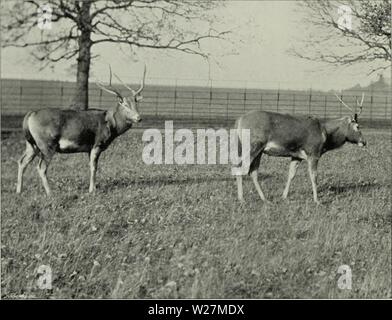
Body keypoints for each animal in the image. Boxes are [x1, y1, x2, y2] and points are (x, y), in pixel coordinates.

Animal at [16, 65, 146, 195]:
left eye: (136, 104)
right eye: (125, 105)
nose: (139, 118)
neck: (111, 126)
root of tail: (30, 115)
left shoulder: (89, 148)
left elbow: (92, 166)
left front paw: (94, 188)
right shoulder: (97, 143)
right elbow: (94, 167)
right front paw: (92, 190)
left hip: (31, 144)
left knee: (22, 161)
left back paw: (19, 191)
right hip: (46, 144)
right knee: (41, 167)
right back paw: (50, 193)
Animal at [231, 92, 366, 204]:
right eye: (358, 126)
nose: (364, 142)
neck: (326, 135)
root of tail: (239, 121)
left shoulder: (296, 156)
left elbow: (291, 175)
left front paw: (284, 196)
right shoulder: (313, 152)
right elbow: (314, 176)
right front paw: (317, 200)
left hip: (258, 150)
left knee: (253, 171)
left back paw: (265, 199)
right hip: (253, 145)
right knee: (240, 167)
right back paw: (242, 199)